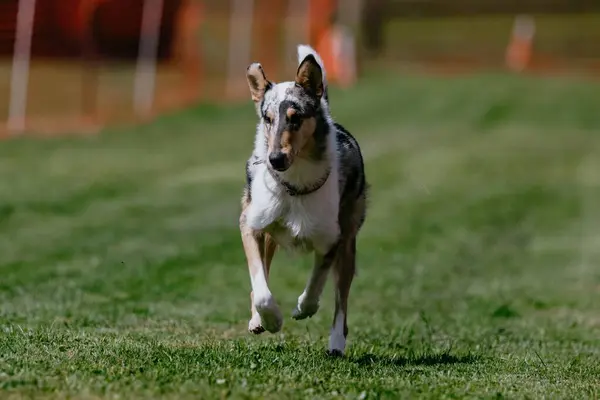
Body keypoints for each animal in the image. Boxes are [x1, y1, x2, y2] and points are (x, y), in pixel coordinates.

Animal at [239, 44, 366, 356]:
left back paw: (336, 343)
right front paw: (271, 319)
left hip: (349, 241)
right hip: (269, 235)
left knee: (341, 300)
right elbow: (260, 285)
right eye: (267, 118)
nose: (275, 159)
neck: (294, 186)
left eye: (296, 117)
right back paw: (258, 320)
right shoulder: (251, 223)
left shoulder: (332, 238)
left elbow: (316, 284)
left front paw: (301, 309)